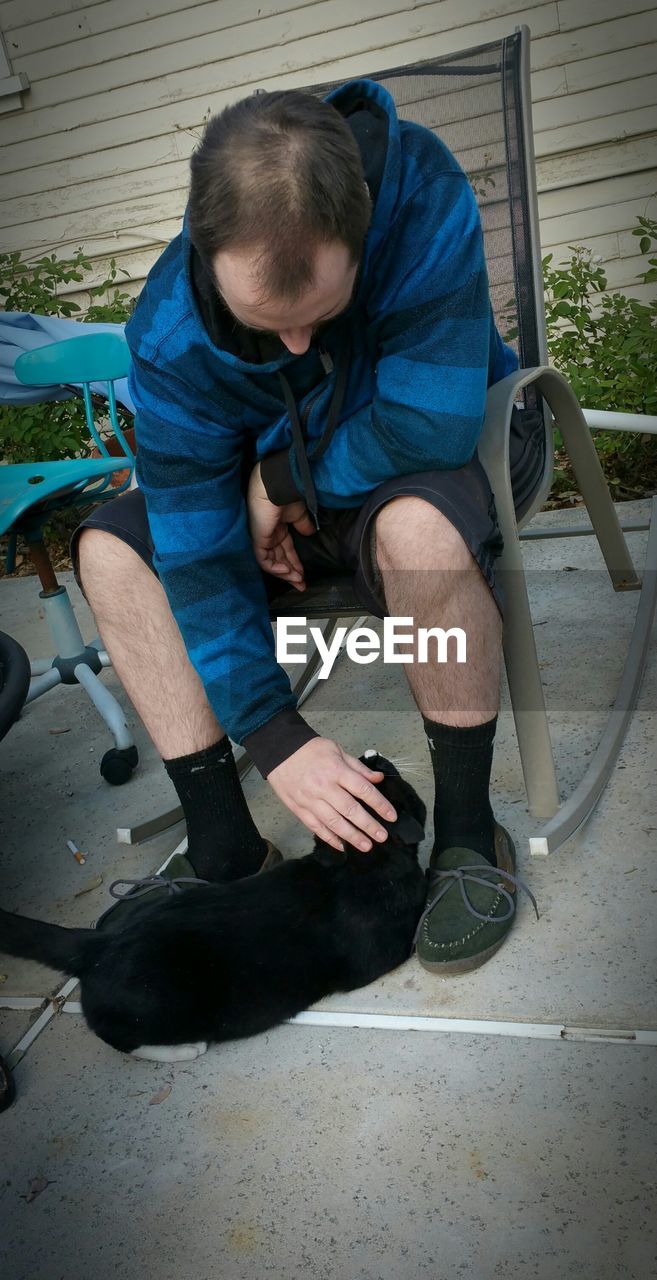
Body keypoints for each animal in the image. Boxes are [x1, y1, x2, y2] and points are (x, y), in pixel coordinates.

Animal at [0, 747, 425, 1059]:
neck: (353, 860)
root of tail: (99, 945)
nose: (373, 754)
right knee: (117, 1038)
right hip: (154, 1008)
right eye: (384, 772)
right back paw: (185, 1049)